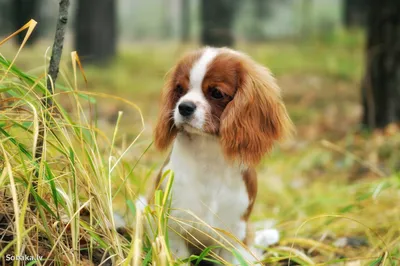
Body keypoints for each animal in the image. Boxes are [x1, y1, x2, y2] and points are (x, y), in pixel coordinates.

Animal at [148, 46, 292, 264]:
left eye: (216, 93)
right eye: (180, 89)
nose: (184, 106)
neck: (208, 153)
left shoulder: (233, 233)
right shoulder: (173, 225)